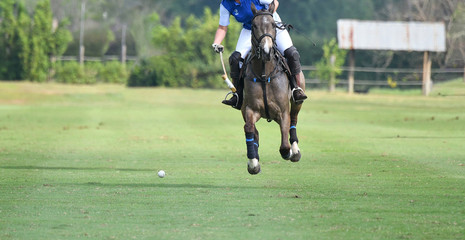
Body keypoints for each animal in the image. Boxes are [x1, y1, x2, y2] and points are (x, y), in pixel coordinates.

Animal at [243, 2, 304, 174]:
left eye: (273, 25)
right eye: (254, 25)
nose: (266, 51)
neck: (264, 74)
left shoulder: (283, 112)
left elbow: (284, 145)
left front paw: (289, 152)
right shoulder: (250, 109)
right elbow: (250, 129)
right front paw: (253, 163)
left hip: (296, 101)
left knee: (294, 119)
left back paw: (295, 151)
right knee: (252, 130)